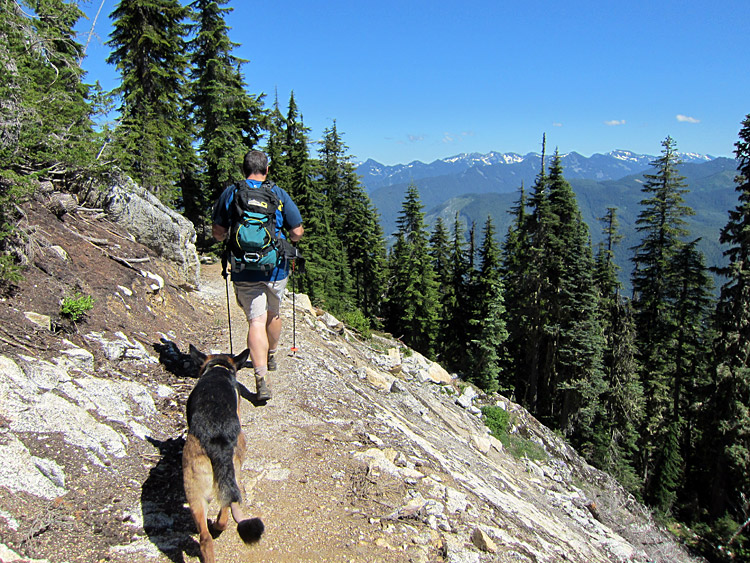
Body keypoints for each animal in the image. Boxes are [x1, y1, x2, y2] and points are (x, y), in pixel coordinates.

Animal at [183, 345, 264, 563]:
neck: (218, 368)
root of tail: (217, 440)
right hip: (230, 474)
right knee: (224, 515)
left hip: (193, 487)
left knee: (205, 537)